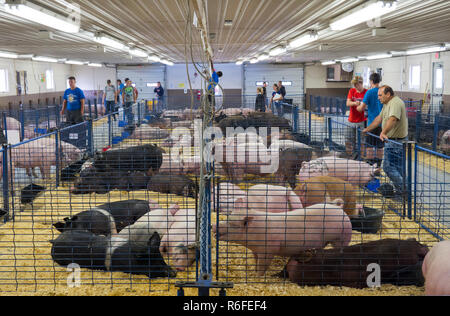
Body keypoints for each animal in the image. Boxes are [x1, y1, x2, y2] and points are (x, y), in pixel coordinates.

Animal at [214, 201, 352, 276]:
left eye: (233, 224)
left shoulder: (269, 248)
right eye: (227, 218)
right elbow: (256, 261)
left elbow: (263, 265)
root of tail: (340, 209)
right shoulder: (256, 250)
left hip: (343, 236)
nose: (213, 225)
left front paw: (258, 276)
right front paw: (254, 271)